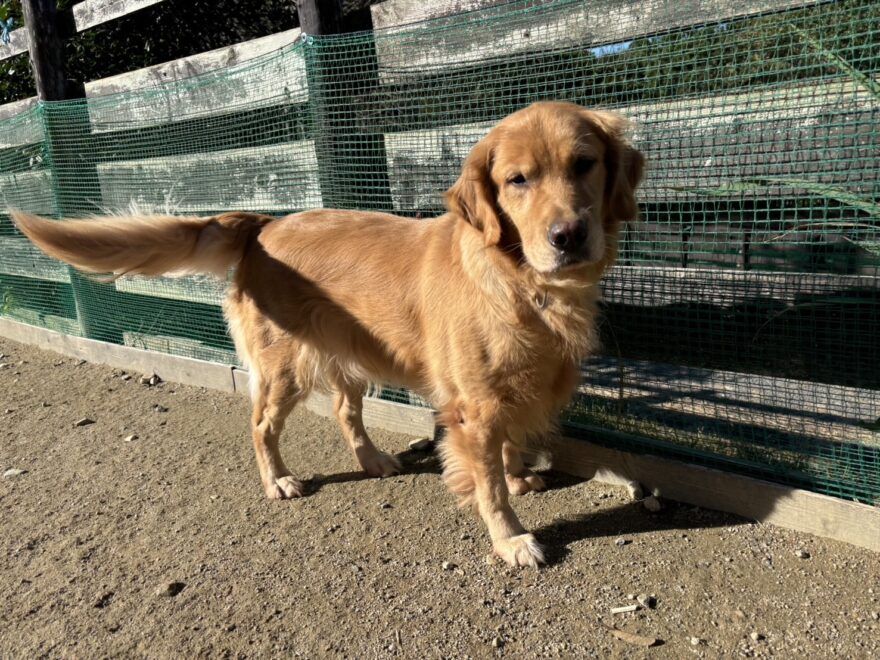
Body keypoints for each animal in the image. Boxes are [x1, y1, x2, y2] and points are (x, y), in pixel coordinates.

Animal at [12, 101, 644, 567]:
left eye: (584, 163)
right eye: (517, 180)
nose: (568, 235)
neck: (520, 282)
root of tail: (263, 225)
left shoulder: (504, 394)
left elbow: (508, 448)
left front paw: (517, 476)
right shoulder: (474, 407)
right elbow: (485, 483)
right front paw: (511, 537)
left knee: (345, 411)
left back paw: (375, 461)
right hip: (283, 369)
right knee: (261, 425)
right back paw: (280, 481)